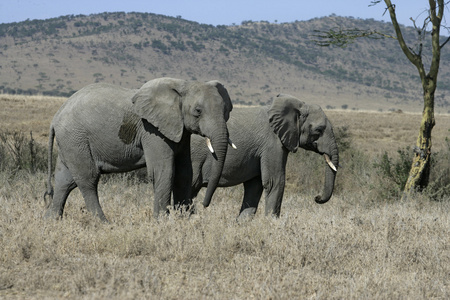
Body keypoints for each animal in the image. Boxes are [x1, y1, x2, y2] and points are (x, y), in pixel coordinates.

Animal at [44, 77, 234, 223]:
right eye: (198, 111)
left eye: (226, 110)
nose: (204, 205)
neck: (183, 85)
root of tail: (55, 117)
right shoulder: (152, 130)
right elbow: (164, 171)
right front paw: (163, 222)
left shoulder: (180, 130)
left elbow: (184, 172)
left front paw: (182, 221)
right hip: (76, 138)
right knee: (88, 179)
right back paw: (104, 223)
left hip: (70, 142)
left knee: (64, 180)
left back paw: (52, 220)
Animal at [189, 95, 338, 219]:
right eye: (318, 130)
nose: (317, 197)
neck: (299, 105)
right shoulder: (272, 144)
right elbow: (274, 182)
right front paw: (272, 224)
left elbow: (255, 186)